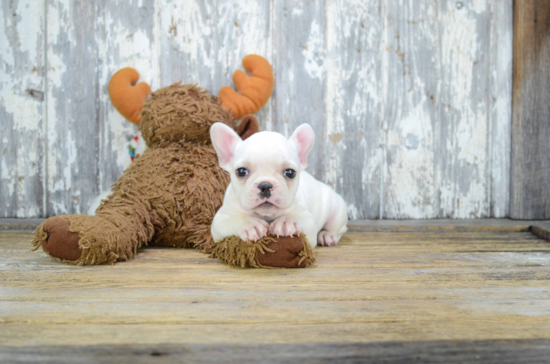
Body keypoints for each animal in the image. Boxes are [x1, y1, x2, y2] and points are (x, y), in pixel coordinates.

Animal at [211, 122, 350, 247]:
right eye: (241, 171)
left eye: (290, 172)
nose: (265, 185)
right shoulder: (219, 221)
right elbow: (235, 219)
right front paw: (250, 224)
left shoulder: (309, 223)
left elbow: (297, 218)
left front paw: (287, 222)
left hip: (337, 210)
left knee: (339, 229)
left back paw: (326, 235)